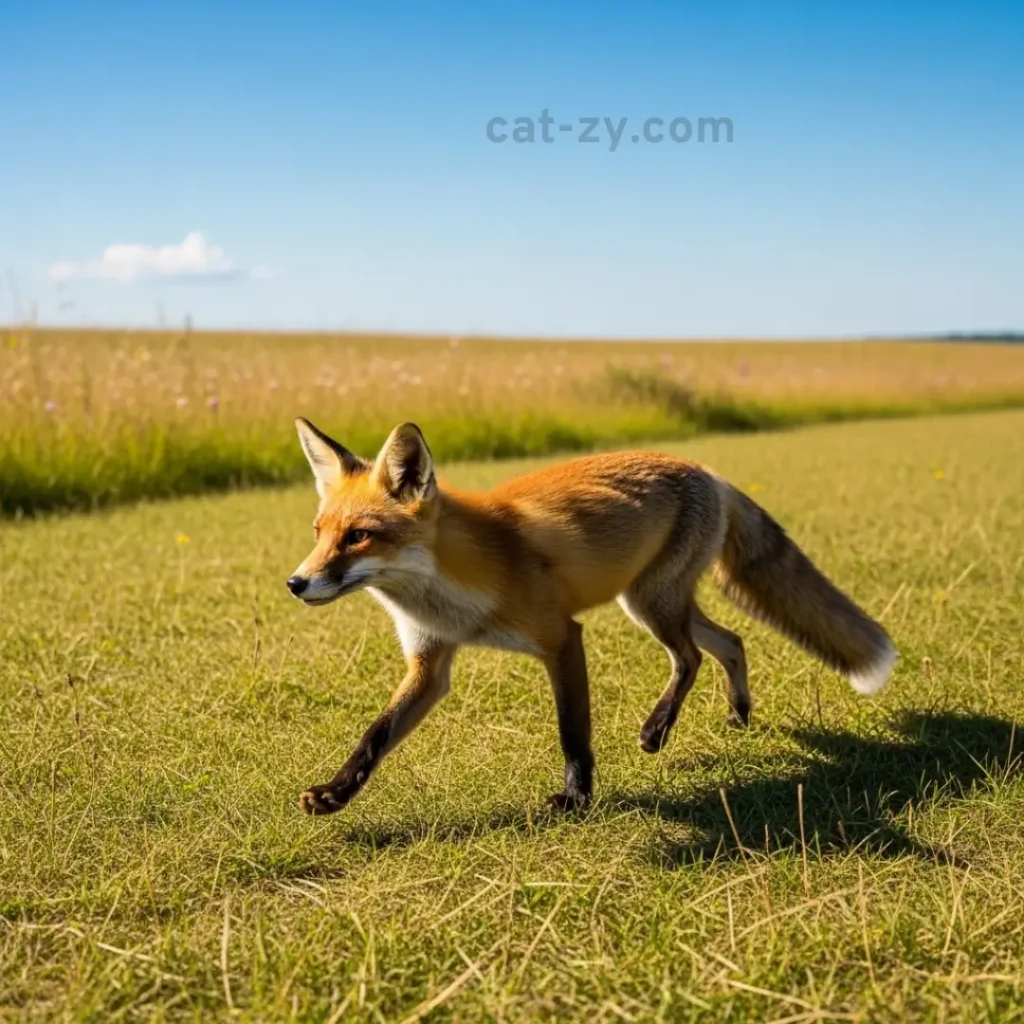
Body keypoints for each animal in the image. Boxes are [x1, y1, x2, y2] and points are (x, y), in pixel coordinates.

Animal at [286, 417, 897, 816]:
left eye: (359, 536)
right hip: (657, 600)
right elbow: (376, 734)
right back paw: (738, 715)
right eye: (318, 532)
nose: (296, 583)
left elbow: (572, 731)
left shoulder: (561, 638)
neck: (453, 591)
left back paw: (658, 729)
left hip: (651, 603)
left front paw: (577, 798)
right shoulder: (430, 664)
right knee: (731, 641)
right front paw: (335, 794)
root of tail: (706, 470)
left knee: (692, 656)